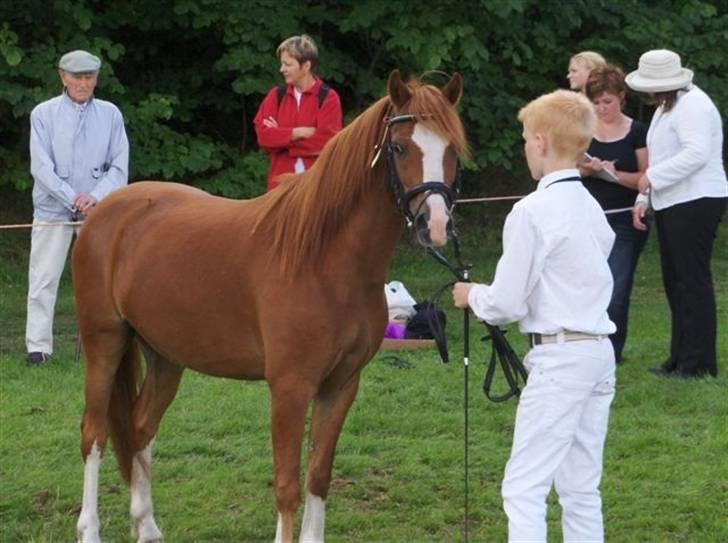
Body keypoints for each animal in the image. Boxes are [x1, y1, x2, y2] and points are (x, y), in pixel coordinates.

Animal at [72, 72, 466, 543]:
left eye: (452, 149)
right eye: (400, 147)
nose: (435, 224)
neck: (324, 260)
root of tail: (105, 213)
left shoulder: (341, 385)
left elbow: (318, 477)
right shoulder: (290, 387)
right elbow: (287, 486)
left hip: (166, 357)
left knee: (139, 429)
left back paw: (147, 525)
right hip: (104, 343)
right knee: (94, 434)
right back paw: (90, 528)